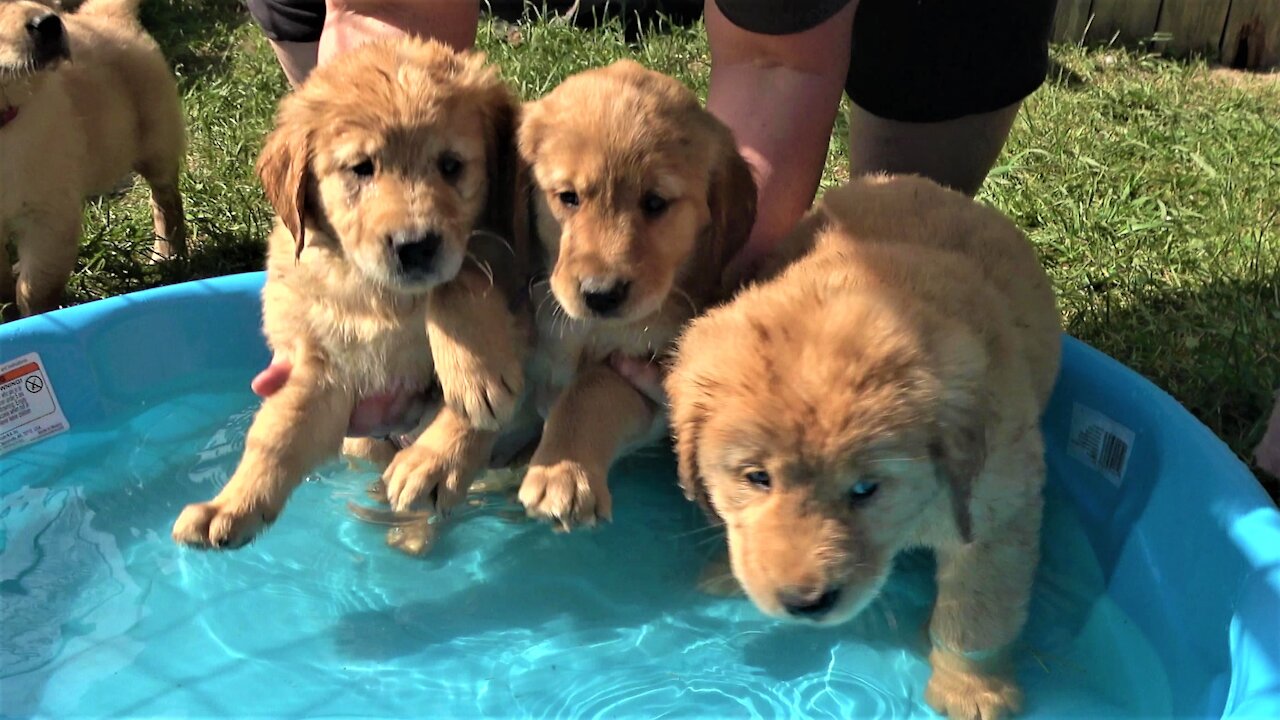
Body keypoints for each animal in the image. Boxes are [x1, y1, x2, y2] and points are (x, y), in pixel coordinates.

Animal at [0, 0, 185, 316]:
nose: (50, 24)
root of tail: (103, 14)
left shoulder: (50, 216)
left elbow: (35, 289)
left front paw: (32, 318)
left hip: (156, 138)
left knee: (166, 200)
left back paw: (168, 255)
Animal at [172, 37, 527, 543]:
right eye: (361, 168)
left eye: (451, 166)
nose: (415, 247)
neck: (386, 300)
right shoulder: (321, 367)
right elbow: (277, 433)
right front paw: (231, 506)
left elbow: (459, 280)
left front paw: (471, 382)